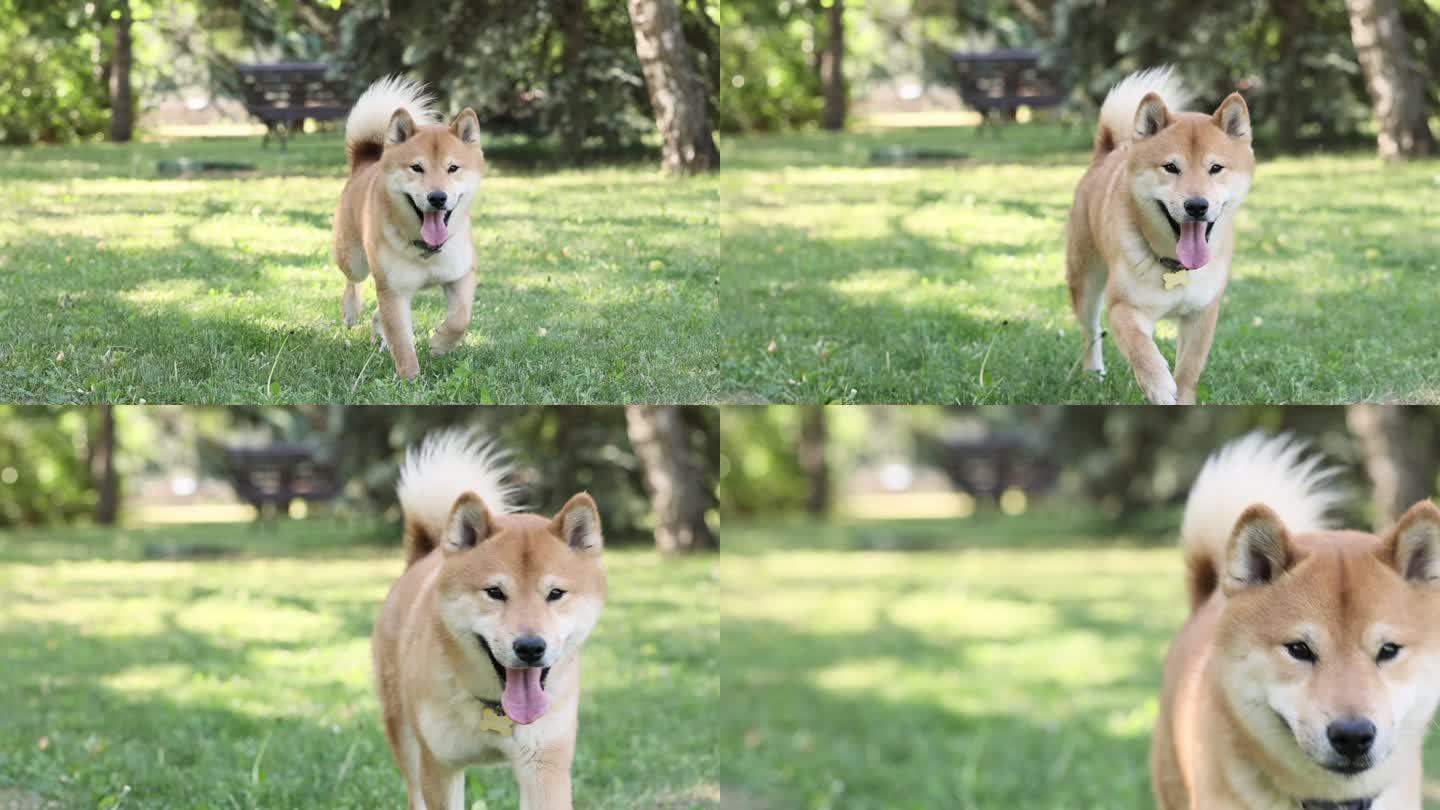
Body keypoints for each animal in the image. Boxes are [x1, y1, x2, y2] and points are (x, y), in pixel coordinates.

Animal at [332, 74, 486, 374]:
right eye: (417, 168)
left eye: (453, 168)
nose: (437, 197)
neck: (426, 249)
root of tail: (365, 161)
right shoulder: (394, 291)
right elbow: (403, 345)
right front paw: (410, 379)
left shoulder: (461, 275)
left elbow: (460, 319)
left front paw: (440, 344)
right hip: (354, 259)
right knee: (353, 282)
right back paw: (351, 311)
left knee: (378, 314)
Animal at [374, 426, 604, 801]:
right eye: (495, 593)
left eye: (555, 594)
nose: (530, 647)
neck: (496, 709)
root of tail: (422, 558)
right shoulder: (439, 767)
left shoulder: (545, 766)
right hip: (405, 738)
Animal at [1065, 67, 1255, 403]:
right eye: (1170, 167)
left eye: (1216, 168)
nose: (1197, 205)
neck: (1176, 268)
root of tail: (1107, 153)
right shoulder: (1123, 308)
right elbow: (1142, 351)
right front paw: (1159, 386)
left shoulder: (1202, 314)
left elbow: (1189, 370)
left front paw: (1182, 395)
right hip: (1085, 282)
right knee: (1091, 333)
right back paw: (1094, 374)